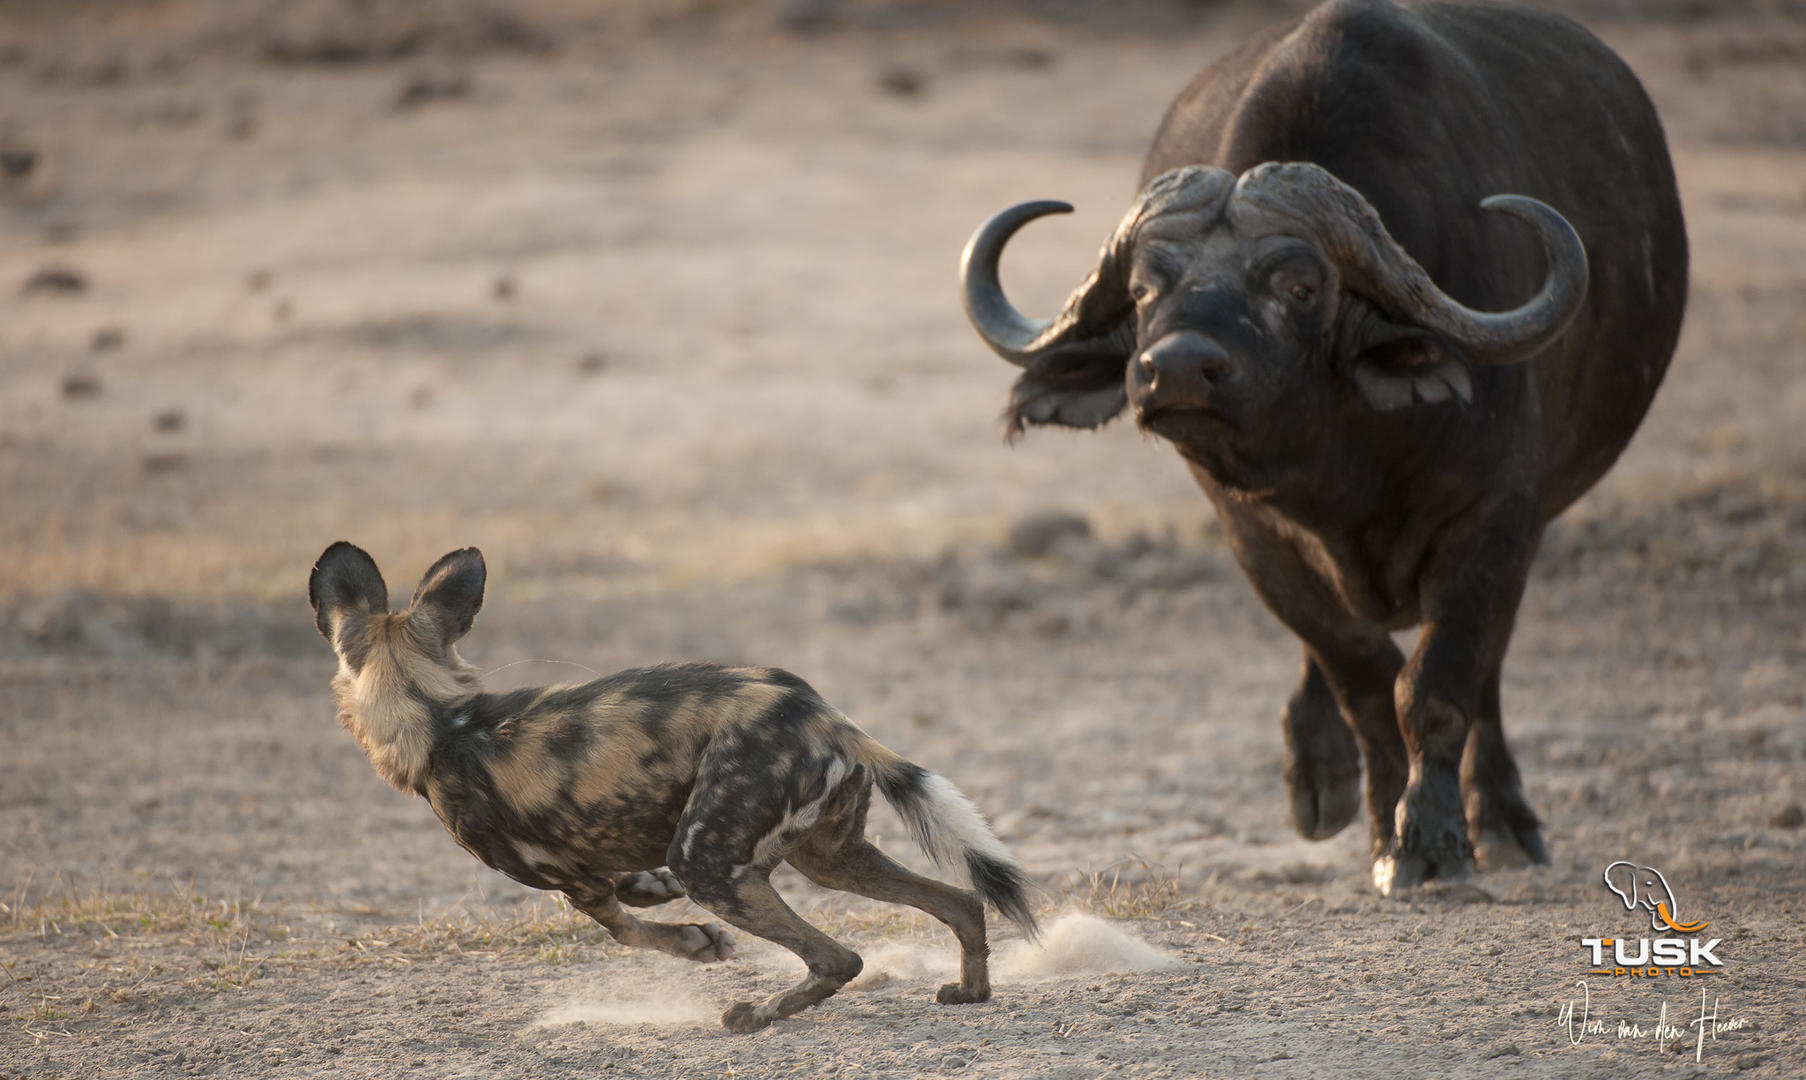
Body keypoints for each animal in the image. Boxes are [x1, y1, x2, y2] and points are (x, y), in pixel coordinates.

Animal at [308, 545, 1040, 1040]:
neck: (439, 720)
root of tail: (819, 711)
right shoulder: (605, 857)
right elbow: (639, 889)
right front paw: (666, 905)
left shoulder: (571, 882)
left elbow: (629, 930)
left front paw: (694, 944)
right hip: (830, 859)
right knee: (961, 902)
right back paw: (970, 991)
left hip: (712, 866)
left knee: (840, 956)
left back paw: (756, 1015)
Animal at [968, 0, 1683, 895]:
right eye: (1143, 288)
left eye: (1299, 286)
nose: (1176, 369)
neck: (1347, 459)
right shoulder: (1254, 536)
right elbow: (1363, 678)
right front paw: (1381, 825)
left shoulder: (1499, 517)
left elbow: (1439, 684)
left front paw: (1434, 841)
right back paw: (1319, 781)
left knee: (1485, 670)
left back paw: (1502, 819)